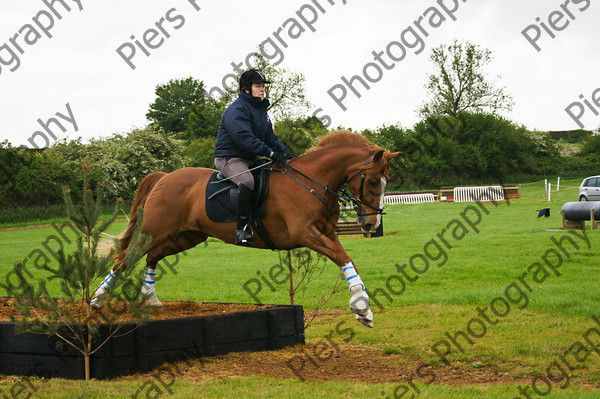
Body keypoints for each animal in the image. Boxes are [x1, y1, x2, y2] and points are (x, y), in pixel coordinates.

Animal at [92, 131, 398, 328]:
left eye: (385, 182)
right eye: (373, 181)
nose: (371, 224)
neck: (311, 181)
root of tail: (165, 177)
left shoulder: (326, 233)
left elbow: (347, 259)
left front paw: (363, 309)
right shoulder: (305, 233)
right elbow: (343, 257)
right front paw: (361, 305)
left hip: (187, 236)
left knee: (152, 257)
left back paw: (151, 298)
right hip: (155, 231)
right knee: (126, 258)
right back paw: (97, 300)